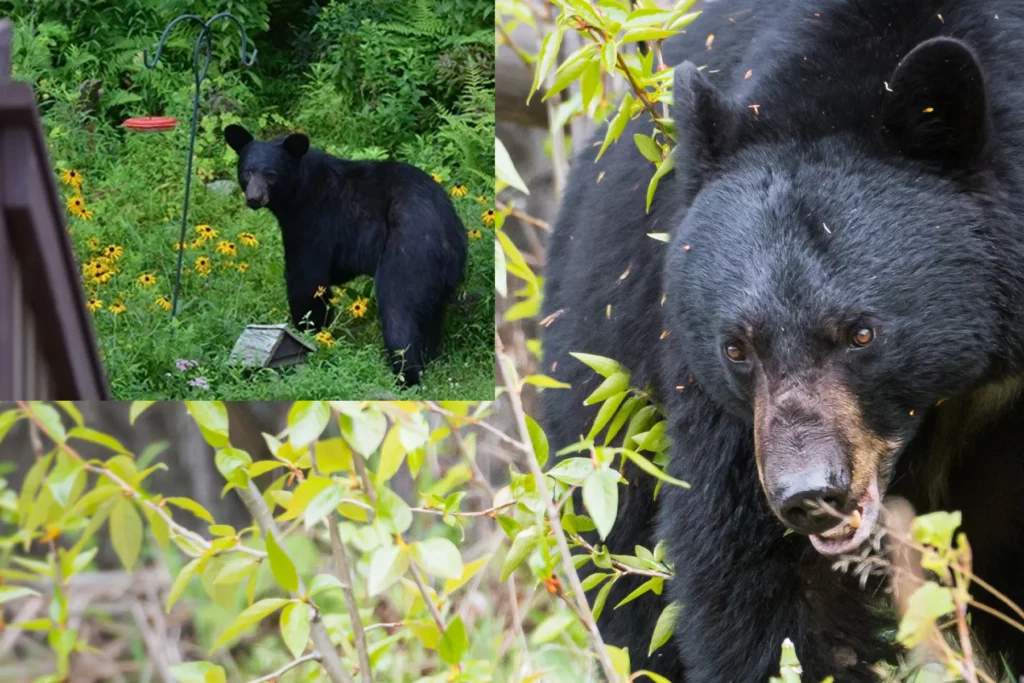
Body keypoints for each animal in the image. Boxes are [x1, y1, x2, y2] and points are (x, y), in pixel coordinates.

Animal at [224, 124, 467, 386]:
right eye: (247, 172)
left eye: (271, 174)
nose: (254, 198)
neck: (299, 190)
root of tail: (444, 234)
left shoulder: (315, 221)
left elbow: (306, 279)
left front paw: (309, 332)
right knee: (432, 315)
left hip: (408, 253)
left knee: (399, 311)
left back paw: (405, 375)